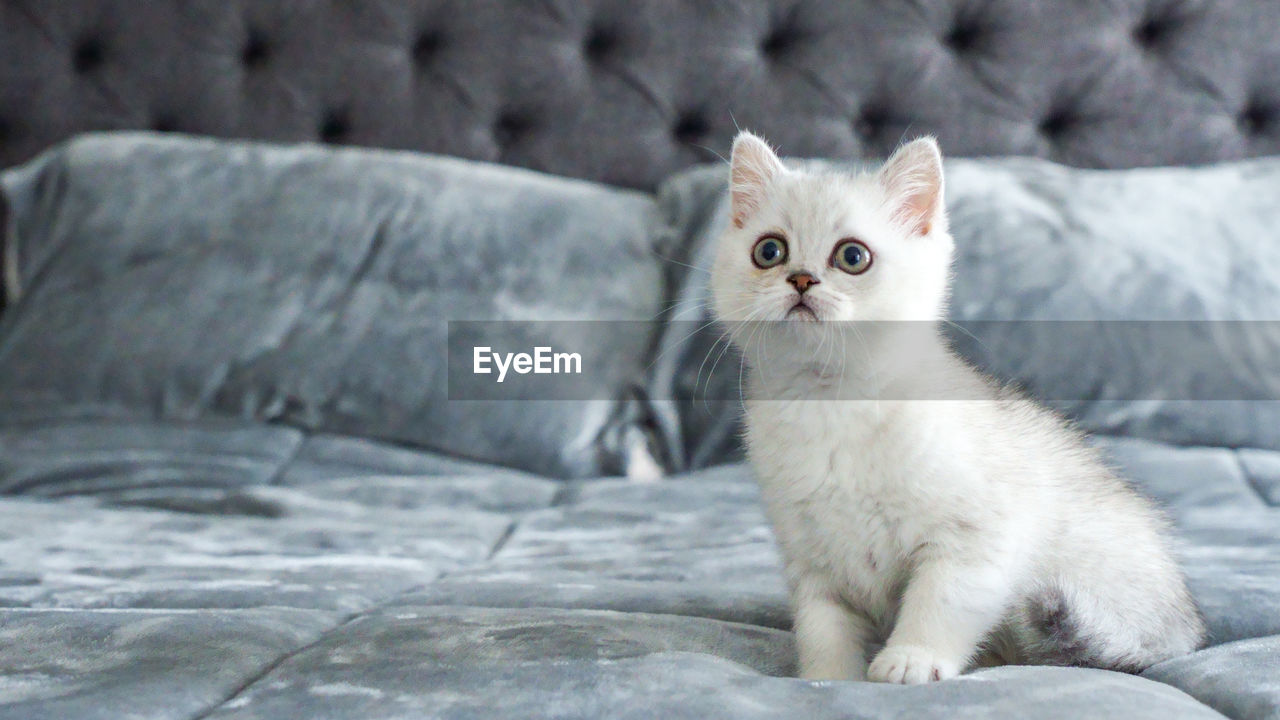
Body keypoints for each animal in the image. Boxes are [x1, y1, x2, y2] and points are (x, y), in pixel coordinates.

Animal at [711, 131, 1198, 681]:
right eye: (769, 250)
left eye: (852, 256)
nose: (799, 279)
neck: (830, 401)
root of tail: (1184, 627)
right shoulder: (814, 562)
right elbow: (822, 629)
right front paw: (826, 679)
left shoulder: (975, 538)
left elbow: (940, 602)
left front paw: (911, 658)